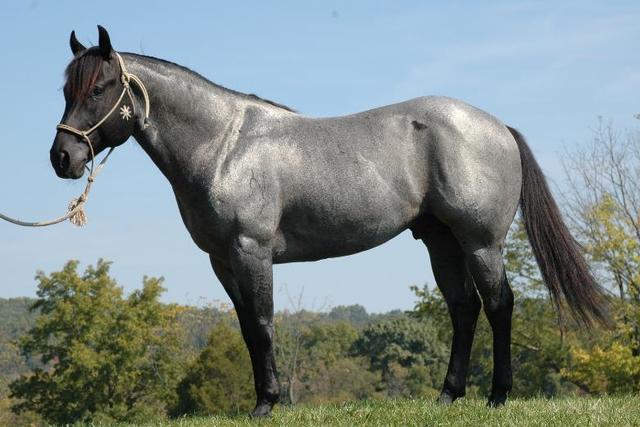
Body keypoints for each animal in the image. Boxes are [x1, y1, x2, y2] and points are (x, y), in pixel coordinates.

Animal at [50, 26, 608, 417]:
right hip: (441, 242)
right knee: (464, 309)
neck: (224, 145)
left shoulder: (251, 251)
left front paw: (267, 403)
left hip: (480, 242)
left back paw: (497, 396)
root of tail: (498, 127)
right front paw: (262, 399)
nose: (63, 157)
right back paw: (448, 396)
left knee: (498, 306)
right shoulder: (221, 261)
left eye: (99, 88)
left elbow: (263, 324)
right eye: (66, 90)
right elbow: (248, 329)